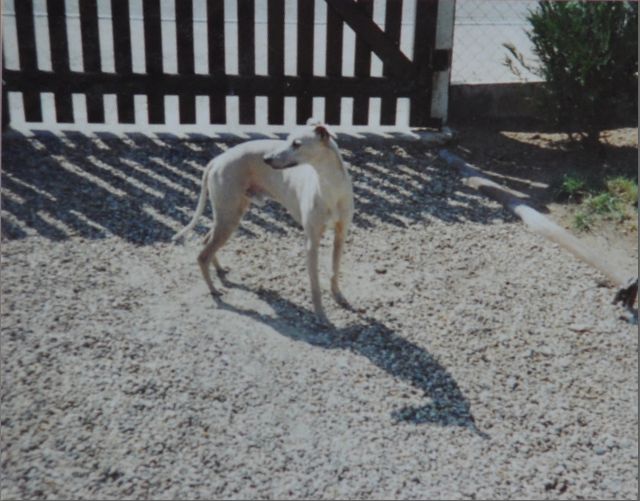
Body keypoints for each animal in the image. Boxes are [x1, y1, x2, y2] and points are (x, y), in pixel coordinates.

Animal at [174, 119, 356, 322]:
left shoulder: (340, 236)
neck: (330, 188)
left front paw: (338, 297)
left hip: (228, 216)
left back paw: (220, 270)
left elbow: (334, 270)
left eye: (297, 144)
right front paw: (320, 315)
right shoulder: (312, 241)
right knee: (202, 255)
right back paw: (214, 290)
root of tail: (217, 160)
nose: (266, 159)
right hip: (229, 217)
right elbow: (315, 284)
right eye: (288, 139)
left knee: (207, 241)